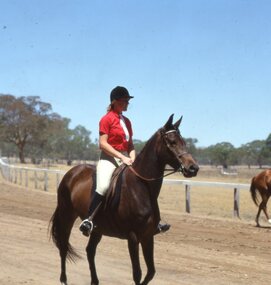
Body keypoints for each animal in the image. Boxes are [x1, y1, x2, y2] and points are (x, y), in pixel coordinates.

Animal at [50, 113, 200, 284]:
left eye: (184, 142)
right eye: (172, 142)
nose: (193, 168)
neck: (141, 187)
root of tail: (72, 172)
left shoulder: (148, 236)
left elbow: (151, 272)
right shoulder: (133, 237)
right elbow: (137, 273)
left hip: (97, 228)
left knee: (90, 251)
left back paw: (94, 281)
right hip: (67, 215)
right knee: (63, 247)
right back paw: (63, 279)